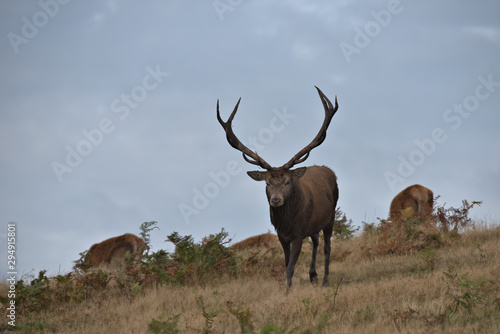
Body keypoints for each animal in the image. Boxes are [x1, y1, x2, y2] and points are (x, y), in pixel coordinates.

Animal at [217, 87, 338, 292]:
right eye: (267, 183)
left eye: (287, 181)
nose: (276, 200)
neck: (287, 223)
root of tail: (330, 171)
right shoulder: (282, 236)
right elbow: (286, 263)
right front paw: (288, 288)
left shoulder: (298, 233)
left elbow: (291, 266)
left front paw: (287, 292)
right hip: (314, 224)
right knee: (315, 240)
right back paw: (313, 275)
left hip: (330, 217)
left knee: (327, 246)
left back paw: (325, 280)